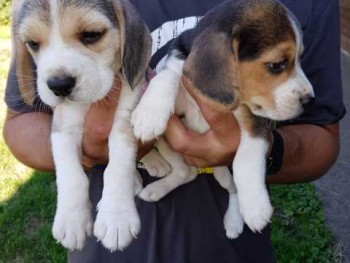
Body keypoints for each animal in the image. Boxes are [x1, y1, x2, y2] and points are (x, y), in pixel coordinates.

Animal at [11, 0, 152, 252]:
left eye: (91, 35)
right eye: (33, 44)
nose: (59, 85)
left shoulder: (124, 121)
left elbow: (117, 168)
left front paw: (116, 217)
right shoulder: (62, 130)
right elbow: (71, 176)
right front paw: (72, 220)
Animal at [132, 0, 314, 239]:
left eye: (300, 60)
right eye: (277, 64)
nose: (310, 100)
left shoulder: (256, 122)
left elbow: (244, 160)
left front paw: (255, 207)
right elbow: (168, 74)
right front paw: (149, 114)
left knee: (230, 187)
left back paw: (234, 221)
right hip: (166, 143)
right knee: (186, 173)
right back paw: (156, 189)